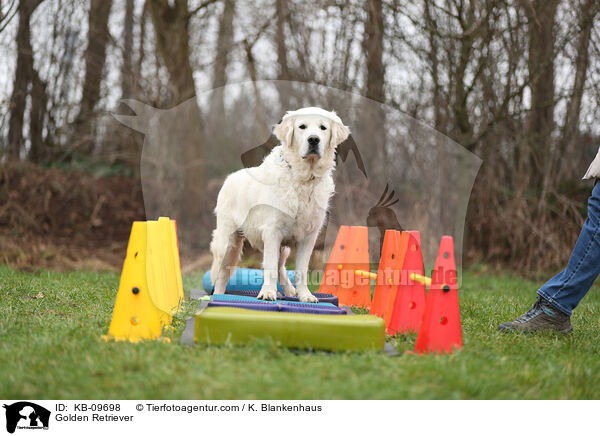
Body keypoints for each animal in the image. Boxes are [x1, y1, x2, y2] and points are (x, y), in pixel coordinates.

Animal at [211, 107, 352, 302]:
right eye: (302, 127)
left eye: (323, 128)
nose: (313, 139)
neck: (302, 179)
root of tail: (228, 178)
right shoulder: (272, 231)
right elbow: (270, 266)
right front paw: (268, 293)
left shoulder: (308, 236)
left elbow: (301, 270)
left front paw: (305, 295)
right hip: (228, 243)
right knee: (222, 273)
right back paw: (217, 296)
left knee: (280, 267)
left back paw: (291, 290)